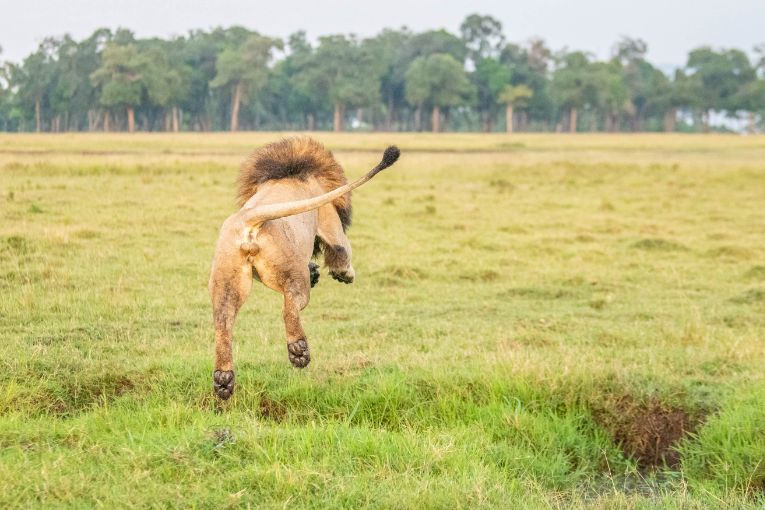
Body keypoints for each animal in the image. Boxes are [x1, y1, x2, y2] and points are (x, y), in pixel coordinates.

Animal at [209, 137, 400, 400]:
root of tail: (248, 219)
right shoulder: (331, 223)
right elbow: (341, 252)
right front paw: (344, 274)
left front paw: (317, 270)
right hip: (293, 273)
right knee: (290, 308)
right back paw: (298, 352)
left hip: (225, 281)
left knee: (223, 325)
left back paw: (224, 380)